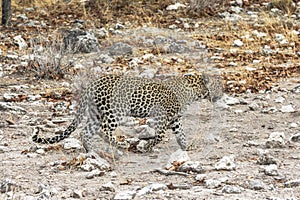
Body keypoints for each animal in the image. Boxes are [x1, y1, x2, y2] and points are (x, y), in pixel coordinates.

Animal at [32, 72, 223, 152]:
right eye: (218, 86)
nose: (223, 93)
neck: (194, 91)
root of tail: (93, 83)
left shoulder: (175, 119)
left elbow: (181, 134)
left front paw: (186, 147)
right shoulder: (161, 116)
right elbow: (160, 135)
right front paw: (146, 146)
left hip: (96, 113)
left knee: (86, 131)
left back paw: (91, 151)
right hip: (115, 111)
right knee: (103, 130)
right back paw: (119, 145)